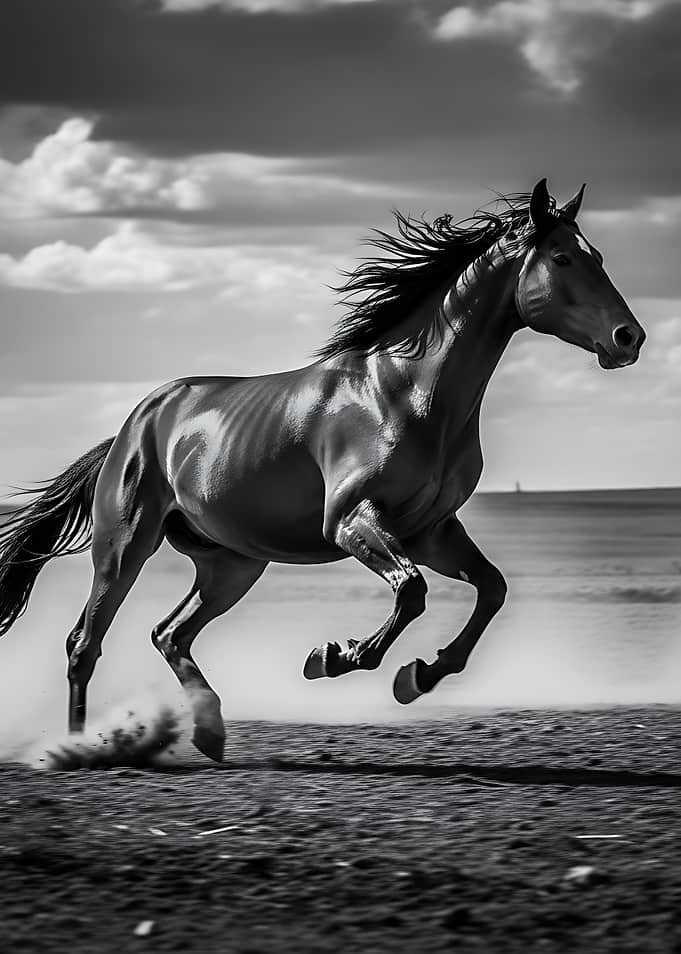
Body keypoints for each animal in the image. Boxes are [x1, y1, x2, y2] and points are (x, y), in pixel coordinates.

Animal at [0, 179, 645, 762]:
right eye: (562, 257)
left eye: (597, 256)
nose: (629, 338)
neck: (406, 394)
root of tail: (137, 424)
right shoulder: (353, 521)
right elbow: (411, 591)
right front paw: (335, 657)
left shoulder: (430, 531)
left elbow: (491, 589)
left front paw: (419, 675)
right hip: (124, 545)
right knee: (85, 643)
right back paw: (77, 748)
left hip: (232, 564)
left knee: (169, 633)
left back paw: (208, 733)